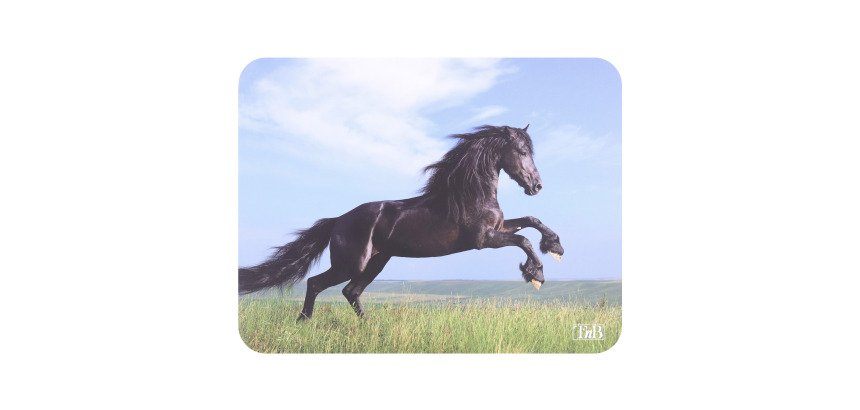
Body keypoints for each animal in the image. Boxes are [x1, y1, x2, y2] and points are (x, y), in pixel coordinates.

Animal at [238, 124, 565, 321]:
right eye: (522, 152)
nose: (536, 186)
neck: (469, 194)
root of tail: (338, 221)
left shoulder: (497, 228)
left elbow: (531, 220)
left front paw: (555, 247)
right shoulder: (484, 240)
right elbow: (523, 239)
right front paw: (536, 274)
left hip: (377, 261)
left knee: (351, 292)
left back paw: (369, 326)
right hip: (351, 264)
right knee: (316, 283)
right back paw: (304, 321)